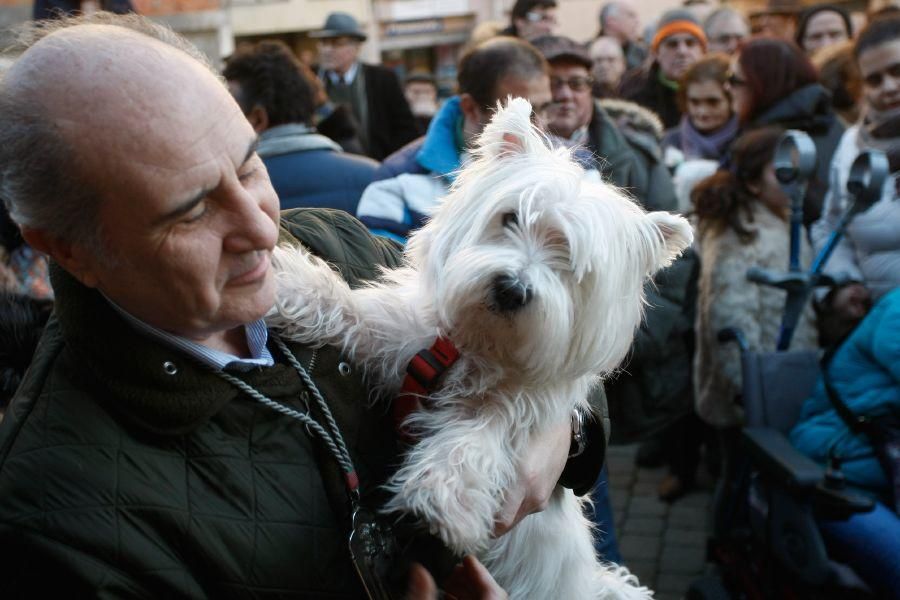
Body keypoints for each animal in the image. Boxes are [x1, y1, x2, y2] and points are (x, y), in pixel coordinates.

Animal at [270, 99, 692, 600]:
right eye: (510, 218)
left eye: (570, 260)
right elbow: (350, 309)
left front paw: (441, 501)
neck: (481, 343)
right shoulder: (400, 339)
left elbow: (473, 440)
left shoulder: (515, 413)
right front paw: (283, 284)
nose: (511, 289)